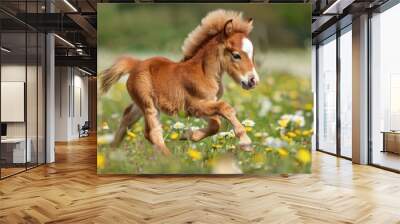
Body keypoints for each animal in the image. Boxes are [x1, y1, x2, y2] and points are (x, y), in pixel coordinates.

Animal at [101, 9, 260, 155]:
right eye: (236, 55)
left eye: (252, 55)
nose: (253, 81)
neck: (203, 72)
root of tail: (136, 64)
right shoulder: (194, 104)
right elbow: (225, 108)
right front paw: (246, 143)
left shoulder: (203, 106)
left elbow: (215, 124)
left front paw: (187, 135)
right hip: (149, 105)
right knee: (152, 132)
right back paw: (171, 160)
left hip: (141, 105)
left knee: (128, 118)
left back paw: (111, 153)